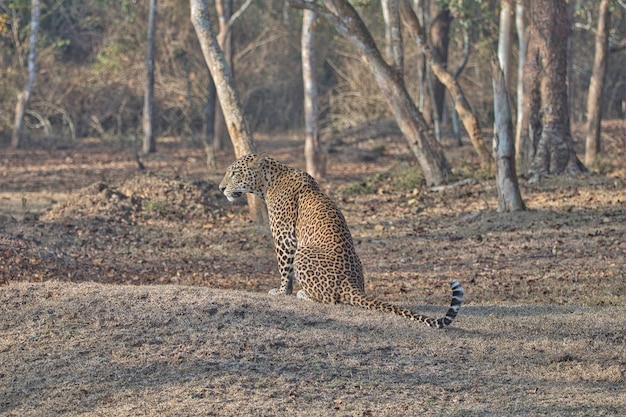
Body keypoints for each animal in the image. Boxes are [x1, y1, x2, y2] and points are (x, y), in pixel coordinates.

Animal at [217, 154, 460, 328]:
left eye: (234, 173)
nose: (221, 188)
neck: (268, 182)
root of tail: (351, 284)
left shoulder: (284, 236)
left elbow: (284, 268)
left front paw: (281, 291)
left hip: (304, 253)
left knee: (331, 299)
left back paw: (304, 294)